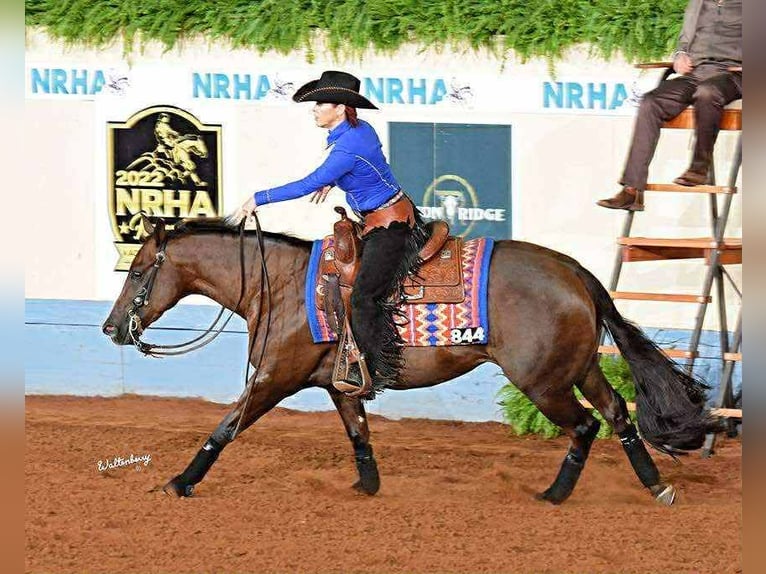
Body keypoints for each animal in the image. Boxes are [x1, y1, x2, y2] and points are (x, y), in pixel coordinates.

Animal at [101, 215, 712, 506]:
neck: (279, 286)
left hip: (543, 382)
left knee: (586, 426)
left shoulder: (274, 378)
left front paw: (179, 483)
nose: (110, 328)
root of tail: (575, 271)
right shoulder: (339, 385)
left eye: (138, 270)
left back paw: (554, 495)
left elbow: (225, 427)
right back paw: (657, 487)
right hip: (578, 367)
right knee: (617, 413)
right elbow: (359, 435)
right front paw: (366, 488)